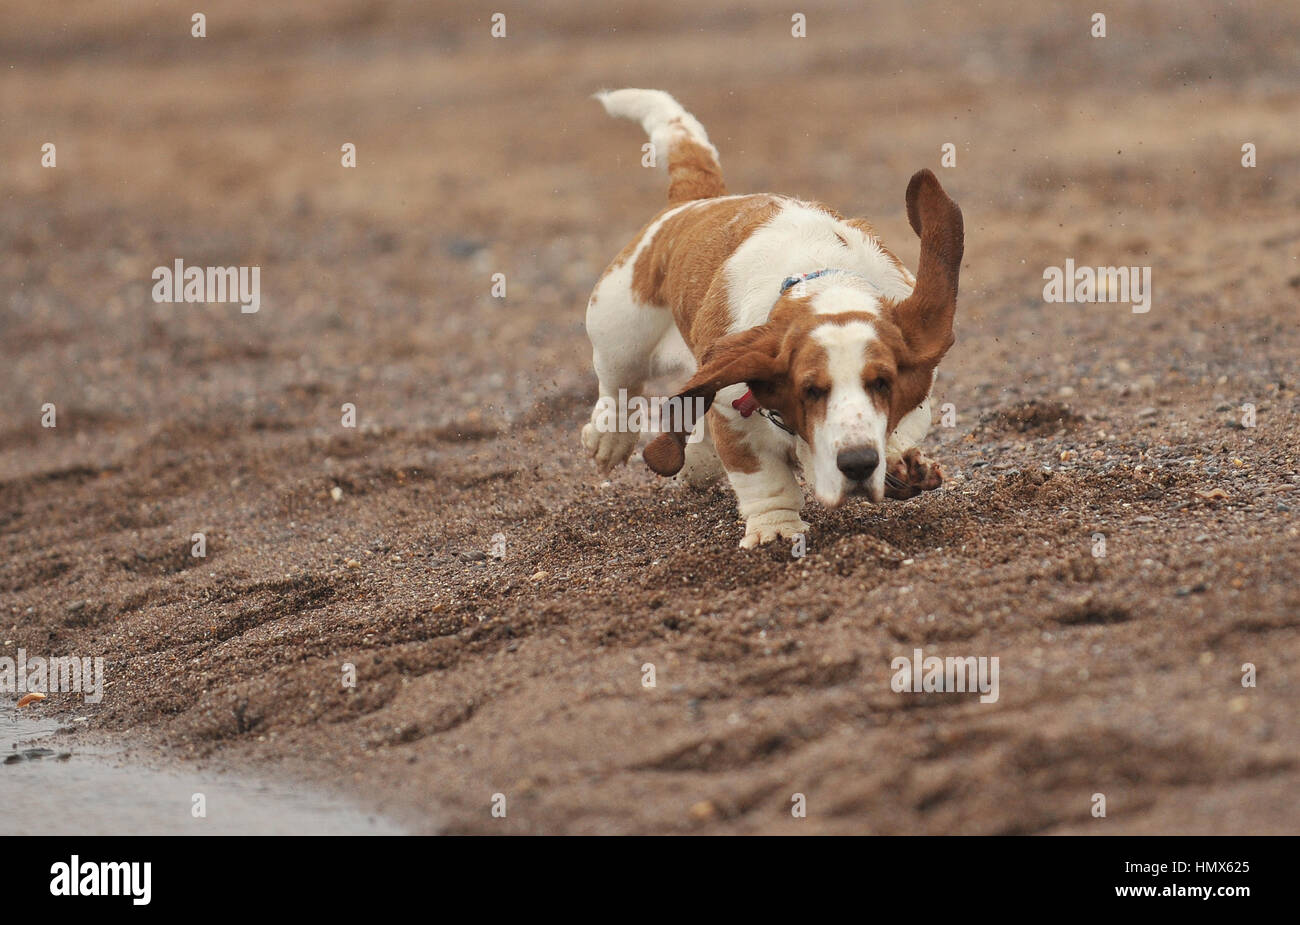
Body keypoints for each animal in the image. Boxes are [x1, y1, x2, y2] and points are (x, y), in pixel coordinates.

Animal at [582, 89, 967, 545]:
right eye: (810, 390)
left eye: (882, 383)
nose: (858, 462)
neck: (817, 277)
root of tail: (696, 201)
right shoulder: (735, 417)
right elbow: (764, 481)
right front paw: (776, 531)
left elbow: (906, 421)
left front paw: (899, 459)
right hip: (619, 331)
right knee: (617, 387)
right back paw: (609, 439)